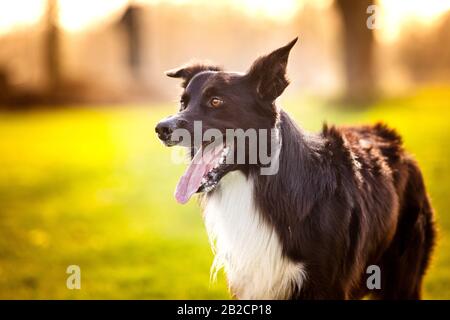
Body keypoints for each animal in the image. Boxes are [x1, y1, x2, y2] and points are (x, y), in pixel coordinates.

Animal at [156, 38, 436, 300]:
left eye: (216, 101)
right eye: (183, 104)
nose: (161, 128)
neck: (257, 182)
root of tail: (393, 140)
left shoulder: (327, 286)